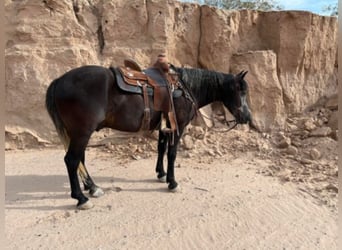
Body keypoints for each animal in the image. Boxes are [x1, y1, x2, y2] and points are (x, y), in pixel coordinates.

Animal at [45, 63, 251, 209]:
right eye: (240, 91)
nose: (247, 117)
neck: (184, 88)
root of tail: (59, 81)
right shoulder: (178, 127)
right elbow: (172, 153)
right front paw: (172, 182)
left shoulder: (164, 127)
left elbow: (161, 149)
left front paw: (161, 174)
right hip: (82, 133)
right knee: (72, 160)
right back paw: (81, 198)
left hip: (77, 133)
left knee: (80, 159)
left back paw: (93, 188)